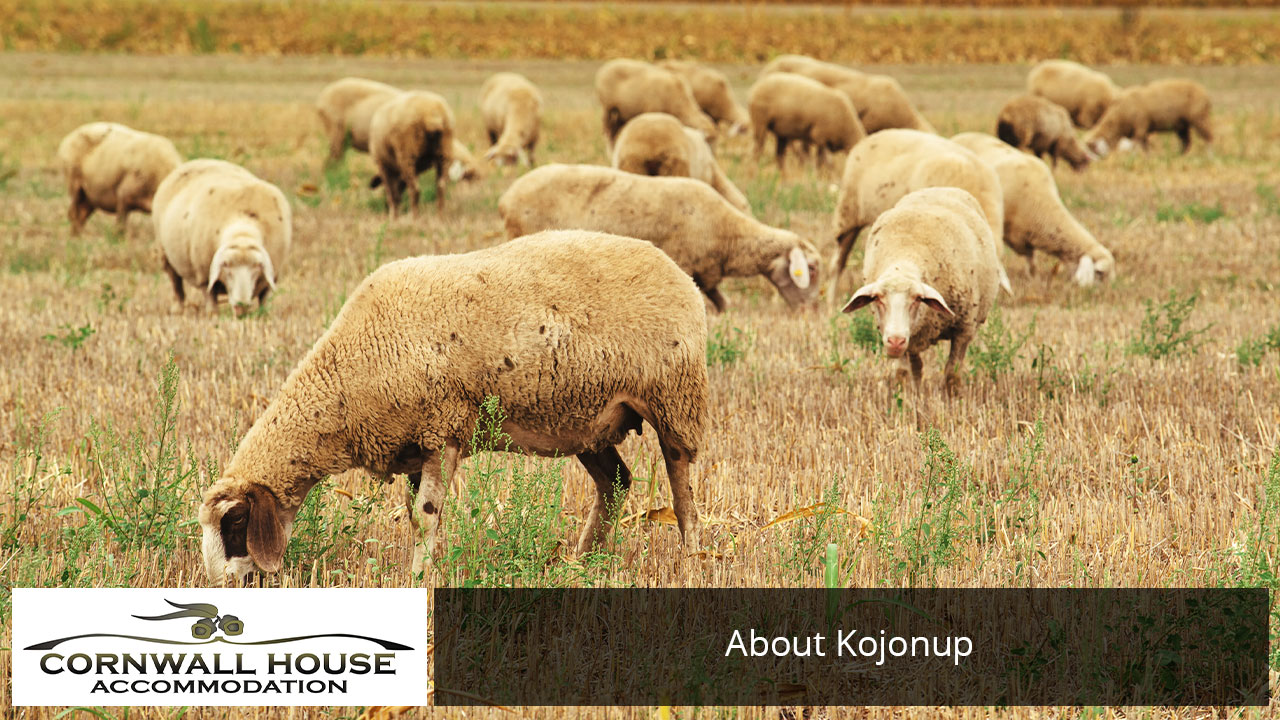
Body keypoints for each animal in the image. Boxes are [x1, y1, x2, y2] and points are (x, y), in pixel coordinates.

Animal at [152, 159, 291, 317]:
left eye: (257, 266)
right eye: (226, 265)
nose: (241, 307)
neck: (242, 231)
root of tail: (199, 160)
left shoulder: (273, 274)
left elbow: (265, 298)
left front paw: (264, 314)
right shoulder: (204, 274)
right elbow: (210, 297)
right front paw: (213, 315)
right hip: (165, 255)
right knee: (176, 286)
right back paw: (177, 310)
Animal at [198, 230, 708, 584]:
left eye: (235, 521)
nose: (224, 584)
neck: (344, 379)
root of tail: (676, 269)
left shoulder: (442, 429)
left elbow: (424, 514)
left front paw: (418, 577)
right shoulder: (413, 445)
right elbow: (419, 513)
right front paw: (432, 566)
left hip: (674, 397)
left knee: (681, 484)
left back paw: (691, 556)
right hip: (589, 419)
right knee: (617, 483)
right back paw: (582, 560)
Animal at [498, 164, 819, 312]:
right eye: (812, 269)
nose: (811, 312)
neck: (729, 236)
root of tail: (507, 197)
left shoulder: (707, 275)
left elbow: (722, 304)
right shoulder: (687, 266)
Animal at [841, 187, 1004, 394]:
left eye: (917, 299)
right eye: (877, 299)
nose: (895, 341)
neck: (905, 257)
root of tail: (940, 188)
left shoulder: (964, 329)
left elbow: (952, 374)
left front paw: (953, 397)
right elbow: (903, 374)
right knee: (917, 366)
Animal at [1084, 78, 1212, 157]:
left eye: (1094, 149)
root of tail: (1205, 94)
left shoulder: (1141, 125)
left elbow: (1137, 144)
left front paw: (1134, 157)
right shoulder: (1142, 129)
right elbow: (1144, 145)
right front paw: (1148, 157)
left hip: (1199, 117)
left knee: (1208, 137)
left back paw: (1209, 154)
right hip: (1182, 124)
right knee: (1186, 142)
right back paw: (1179, 155)